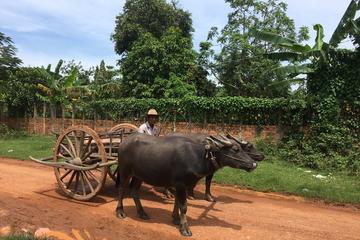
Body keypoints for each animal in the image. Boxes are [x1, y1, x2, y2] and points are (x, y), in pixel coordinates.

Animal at [115, 133, 256, 236]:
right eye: (235, 149)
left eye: (243, 148)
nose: (253, 164)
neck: (196, 156)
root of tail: (123, 142)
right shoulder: (181, 184)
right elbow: (184, 207)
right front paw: (185, 228)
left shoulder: (181, 185)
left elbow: (177, 203)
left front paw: (176, 219)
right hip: (125, 171)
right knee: (121, 188)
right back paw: (120, 211)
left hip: (139, 175)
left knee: (134, 191)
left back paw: (142, 212)